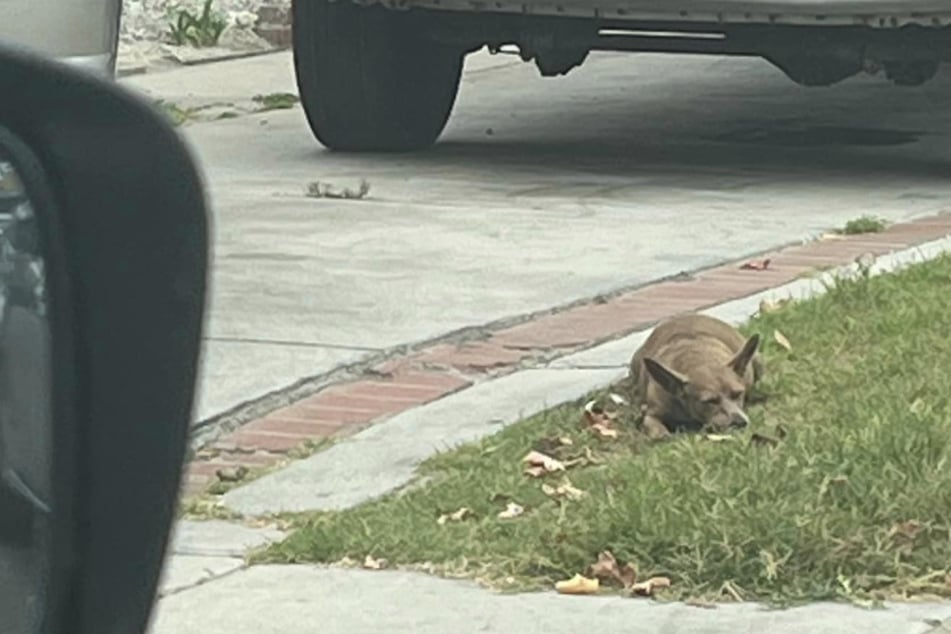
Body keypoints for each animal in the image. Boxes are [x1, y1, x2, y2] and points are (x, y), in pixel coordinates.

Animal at [632, 312, 768, 440]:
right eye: (710, 401)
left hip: (757, 360)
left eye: (738, 394)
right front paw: (662, 433)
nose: (740, 422)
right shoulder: (652, 412)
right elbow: (654, 425)